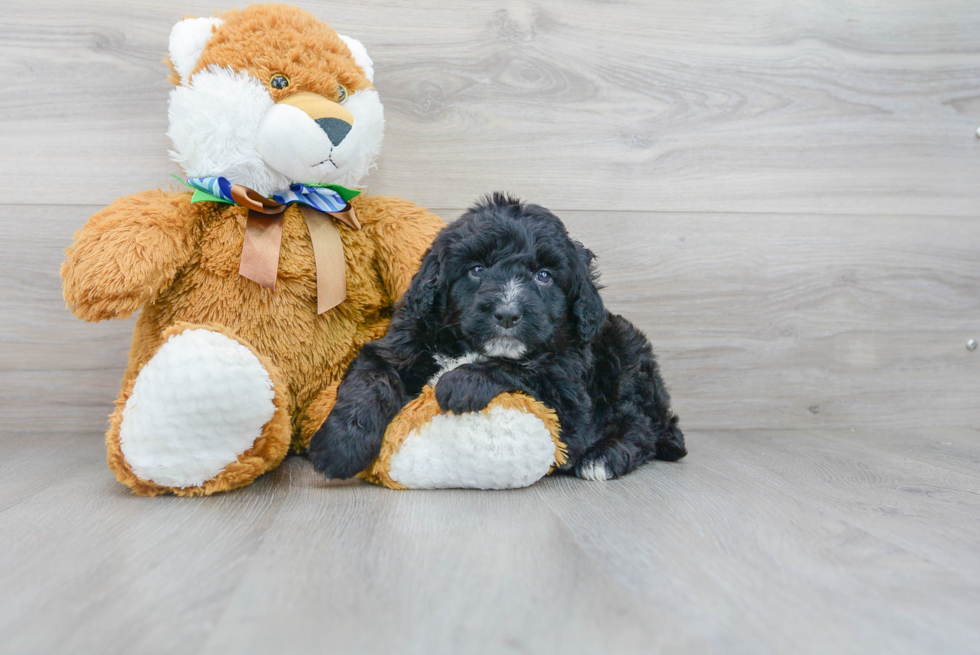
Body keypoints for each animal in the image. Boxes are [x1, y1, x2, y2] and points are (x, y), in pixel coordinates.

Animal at [310, 192, 684, 480]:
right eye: (477, 270)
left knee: (640, 426)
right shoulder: (399, 345)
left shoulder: (570, 402)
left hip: (625, 354)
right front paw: (340, 447)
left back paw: (603, 457)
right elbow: (371, 380)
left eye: (544, 276)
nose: (507, 314)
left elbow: (523, 369)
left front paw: (461, 382)